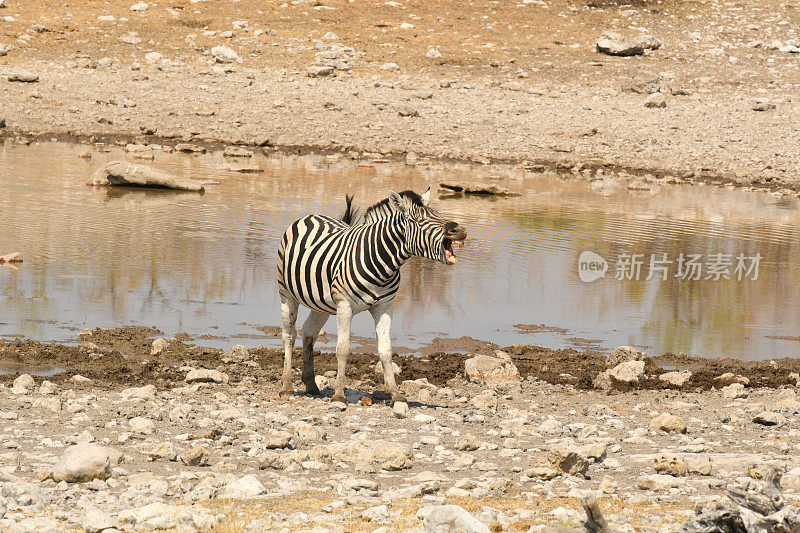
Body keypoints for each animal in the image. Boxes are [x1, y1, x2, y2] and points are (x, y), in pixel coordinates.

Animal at [276, 187, 466, 404]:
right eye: (417, 221)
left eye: (437, 214)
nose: (459, 230)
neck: (384, 266)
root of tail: (311, 216)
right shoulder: (345, 305)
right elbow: (343, 349)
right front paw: (339, 394)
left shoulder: (384, 307)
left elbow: (386, 350)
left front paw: (395, 393)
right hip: (286, 294)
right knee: (289, 335)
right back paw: (287, 386)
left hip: (322, 303)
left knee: (309, 332)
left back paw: (311, 384)